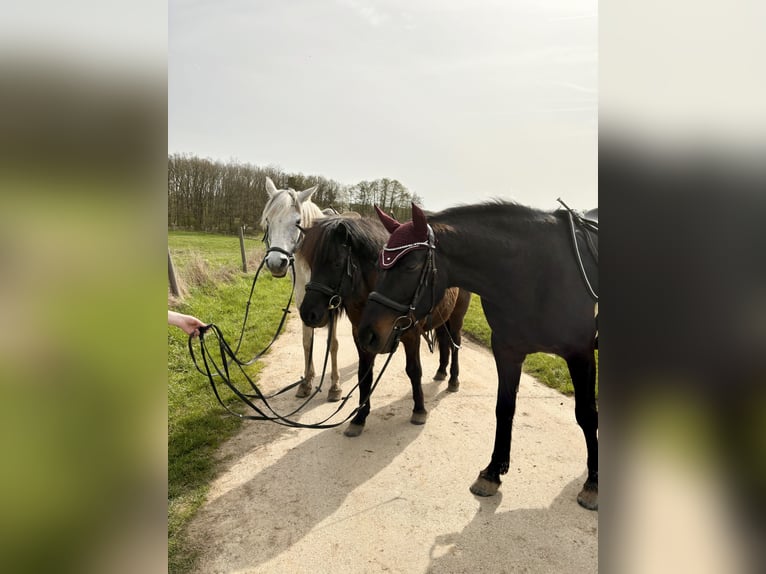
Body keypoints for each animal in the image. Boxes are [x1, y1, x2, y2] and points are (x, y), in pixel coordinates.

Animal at [260, 177, 341, 401]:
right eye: (268, 220)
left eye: (298, 221)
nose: (276, 263)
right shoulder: (303, 306)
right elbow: (307, 342)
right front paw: (306, 382)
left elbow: (333, 343)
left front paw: (335, 386)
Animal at [298, 215, 471, 437]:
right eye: (310, 263)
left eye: (336, 263)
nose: (308, 313)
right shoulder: (361, 336)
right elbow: (364, 374)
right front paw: (359, 417)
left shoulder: (411, 335)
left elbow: (414, 370)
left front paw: (419, 410)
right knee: (444, 342)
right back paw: (441, 371)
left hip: (456, 319)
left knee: (455, 344)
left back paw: (453, 380)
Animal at [357, 202, 598, 510]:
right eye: (379, 263)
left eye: (411, 265)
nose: (367, 334)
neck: (536, 271)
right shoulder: (508, 352)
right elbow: (504, 409)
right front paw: (493, 472)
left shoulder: (580, 354)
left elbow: (586, 414)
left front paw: (593, 483)